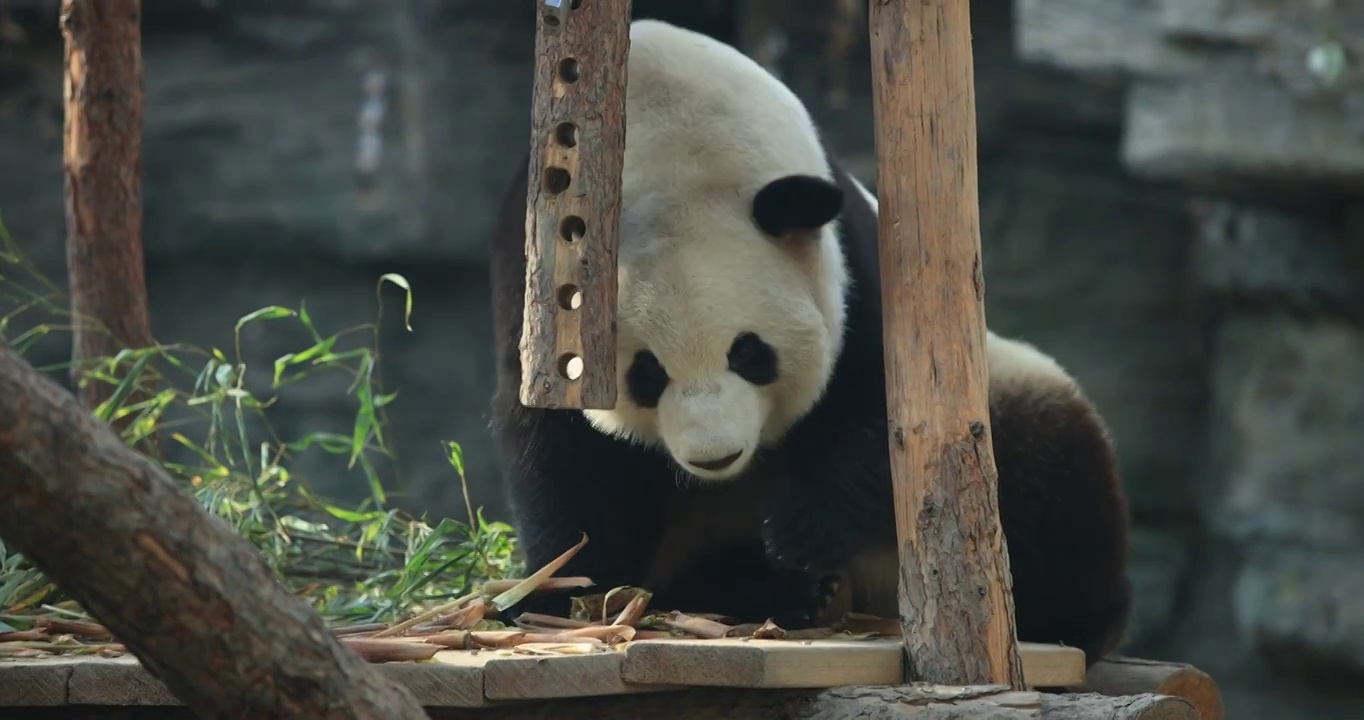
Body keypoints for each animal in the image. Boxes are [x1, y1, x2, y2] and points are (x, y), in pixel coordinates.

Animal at [488, 19, 1129, 665]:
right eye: (646, 373)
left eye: (749, 353)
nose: (715, 457)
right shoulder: (536, 274)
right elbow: (561, 448)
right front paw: (563, 590)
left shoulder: (854, 267)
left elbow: (890, 412)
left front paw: (802, 529)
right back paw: (774, 590)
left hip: (1015, 395)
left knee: (1055, 476)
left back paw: (1068, 615)